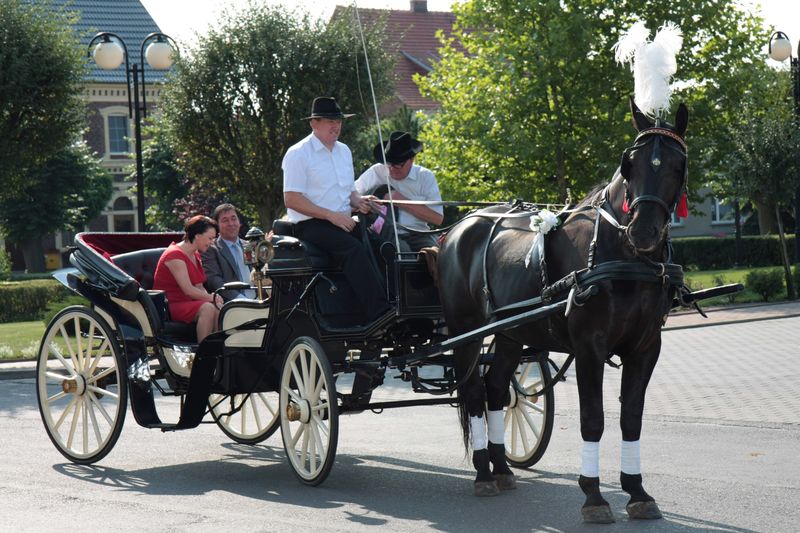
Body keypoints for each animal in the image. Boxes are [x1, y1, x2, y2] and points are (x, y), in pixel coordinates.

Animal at [438, 97, 688, 520]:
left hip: (510, 334)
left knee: (495, 390)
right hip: (465, 334)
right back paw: (484, 473)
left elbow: (631, 418)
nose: (642, 232)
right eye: (630, 163)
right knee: (472, 392)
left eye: (677, 165)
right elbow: (593, 420)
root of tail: (457, 228)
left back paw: (502, 468)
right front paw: (594, 496)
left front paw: (637, 491)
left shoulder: (645, 347)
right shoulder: (589, 347)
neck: (621, 255)